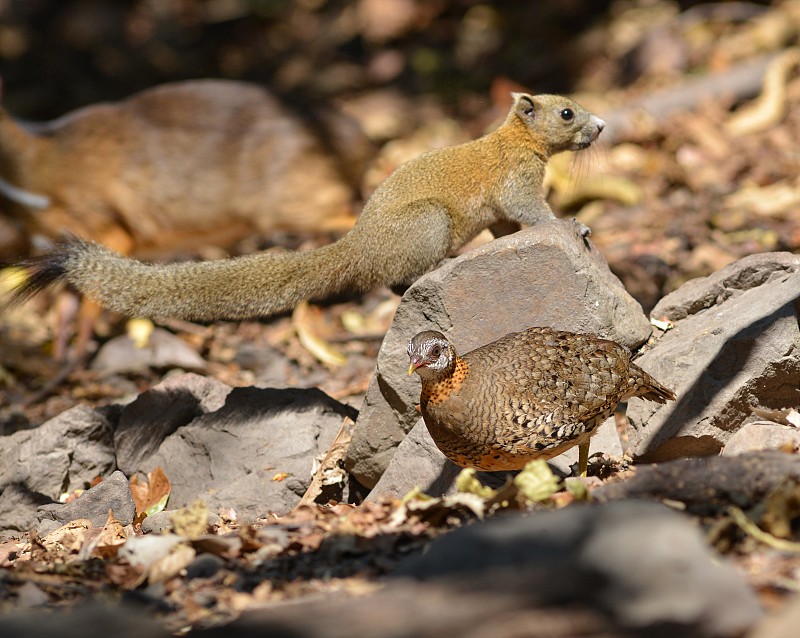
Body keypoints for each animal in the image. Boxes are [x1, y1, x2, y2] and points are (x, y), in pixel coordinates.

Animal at [6, 94, 604, 324]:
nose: (602, 125)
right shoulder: (515, 184)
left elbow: (509, 226)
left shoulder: (503, 205)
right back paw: (439, 266)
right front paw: (570, 223)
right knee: (400, 276)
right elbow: (534, 213)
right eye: (567, 112)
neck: (512, 140)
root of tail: (358, 247)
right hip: (429, 221)